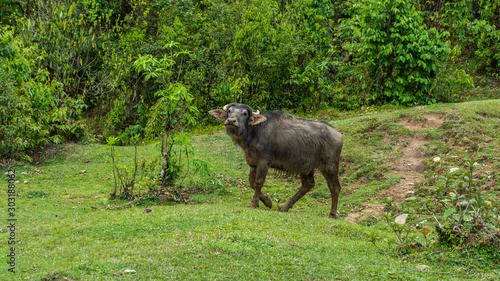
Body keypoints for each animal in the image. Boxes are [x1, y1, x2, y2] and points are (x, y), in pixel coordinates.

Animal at [208, 102, 344, 217]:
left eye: (245, 113)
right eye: (229, 111)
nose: (231, 120)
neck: (255, 132)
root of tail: (338, 134)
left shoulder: (264, 162)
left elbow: (258, 182)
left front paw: (254, 204)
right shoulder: (253, 163)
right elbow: (251, 182)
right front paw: (268, 202)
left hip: (330, 166)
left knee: (335, 187)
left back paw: (332, 214)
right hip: (305, 168)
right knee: (308, 185)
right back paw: (284, 207)